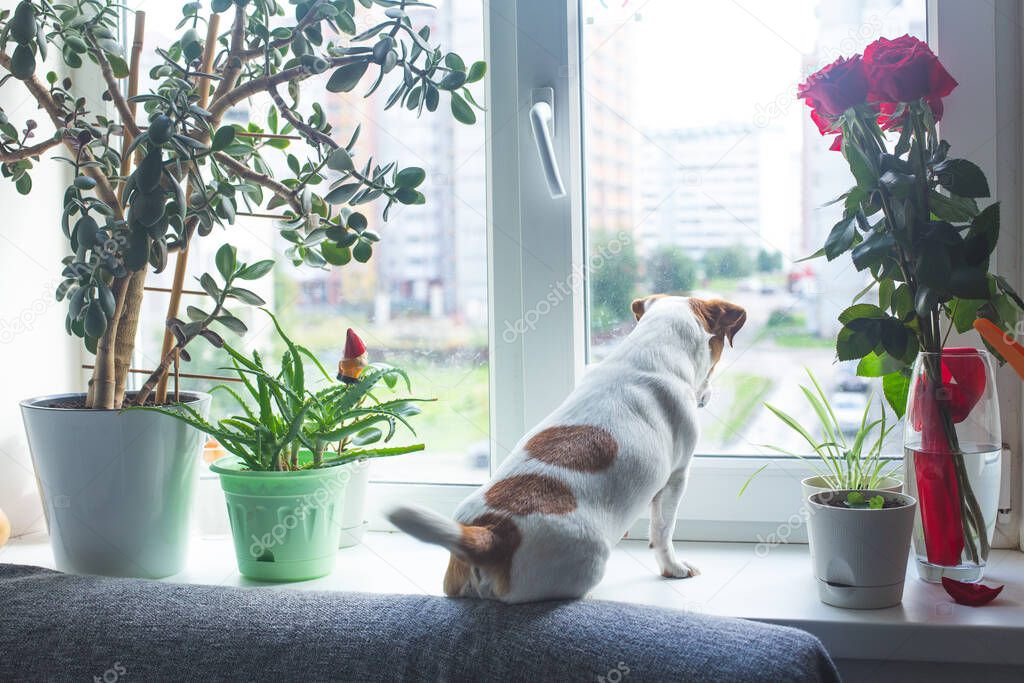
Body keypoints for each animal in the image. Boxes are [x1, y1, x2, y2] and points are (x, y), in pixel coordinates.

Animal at [387, 294, 749, 602]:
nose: (708, 396)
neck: (648, 354)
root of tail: (491, 533)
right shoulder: (676, 478)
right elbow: (663, 531)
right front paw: (673, 567)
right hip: (589, 560)